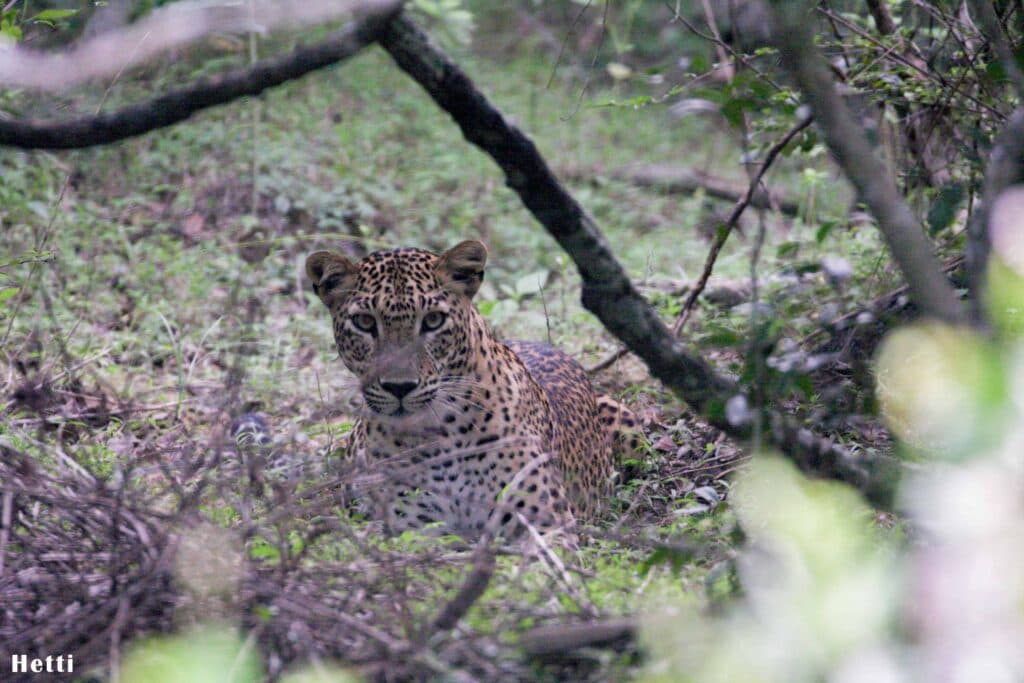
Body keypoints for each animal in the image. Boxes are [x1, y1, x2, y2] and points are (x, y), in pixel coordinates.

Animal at [305, 240, 642, 539]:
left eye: (433, 320)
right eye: (364, 322)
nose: (399, 387)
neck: (439, 433)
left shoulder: (547, 523)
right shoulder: (410, 529)